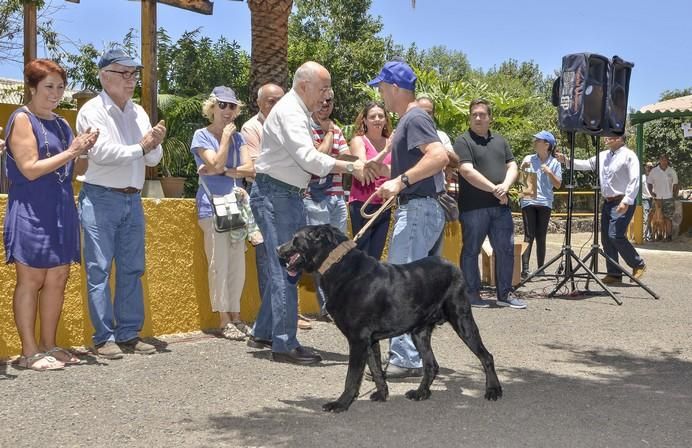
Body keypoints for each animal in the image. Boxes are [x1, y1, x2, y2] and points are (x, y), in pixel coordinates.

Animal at [278, 226, 502, 412]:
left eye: (295, 239)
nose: (279, 248)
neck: (337, 265)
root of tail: (453, 266)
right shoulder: (369, 341)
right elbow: (376, 368)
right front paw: (382, 393)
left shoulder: (358, 340)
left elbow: (352, 377)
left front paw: (341, 404)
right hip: (419, 333)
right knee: (431, 364)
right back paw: (421, 393)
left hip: (462, 320)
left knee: (486, 357)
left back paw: (493, 390)